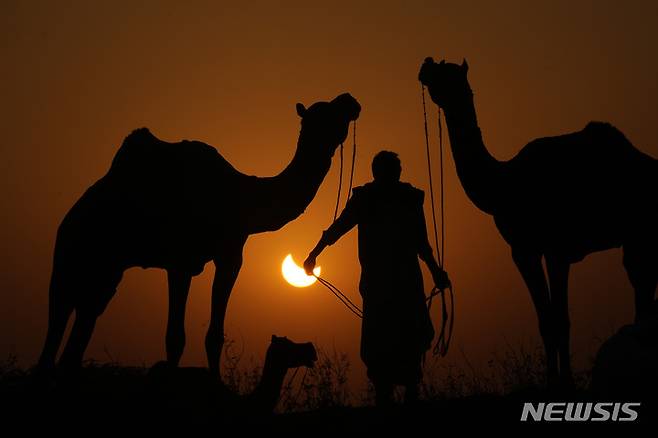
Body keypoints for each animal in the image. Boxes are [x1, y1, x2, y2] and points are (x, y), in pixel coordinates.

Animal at [37, 92, 358, 376]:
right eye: (327, 112)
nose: (350, 100)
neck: (240, 195)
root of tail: (70, 217)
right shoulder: (180, 262)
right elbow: (174, 337)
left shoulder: (230, 255)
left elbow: (214, 336)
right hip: (69, 252)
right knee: (58, 315)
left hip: (108, 270)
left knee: (87, 313)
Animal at [418, 56, 652, 384]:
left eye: (444, 71)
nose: (425, 65)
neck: (504, 185)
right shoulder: (525, 250)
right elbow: (546, 320)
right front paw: (553, 379)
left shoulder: (554, 249)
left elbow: (559, 319)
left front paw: (563, 382)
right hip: (637, 236)